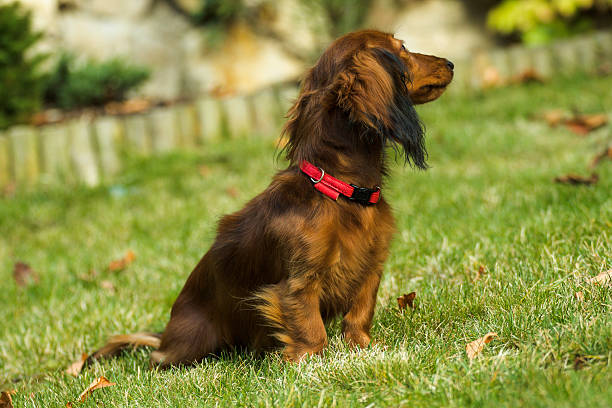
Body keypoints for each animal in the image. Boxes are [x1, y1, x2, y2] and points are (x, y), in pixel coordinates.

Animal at [92, 29, 454, 366]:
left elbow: (359, 313)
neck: (339, 192)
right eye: (403, 48)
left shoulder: (370, 269)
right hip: (193, 342)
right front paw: (309, 362)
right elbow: (311, 330)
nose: (450, 63)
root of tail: (165, 338)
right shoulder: (298, 284)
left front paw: (363, 347)